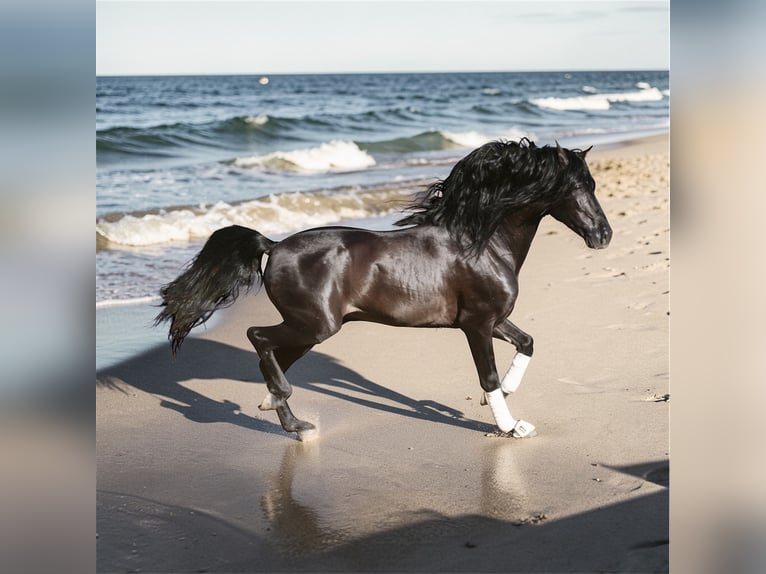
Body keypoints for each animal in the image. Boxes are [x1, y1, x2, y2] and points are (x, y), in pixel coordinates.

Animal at [155, 138, 612, 441]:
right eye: (579, 187)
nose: (604, 235)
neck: (482, 242)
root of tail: (273, 245)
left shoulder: (495, 320)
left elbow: (528, 342)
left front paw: (507, 397)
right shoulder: (477, 325)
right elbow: (488, 376)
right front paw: (511, 425)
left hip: (310, 328)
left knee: (274, 352)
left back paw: (275, 404)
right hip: (315, 325)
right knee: (258, 338)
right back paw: (297, 423)